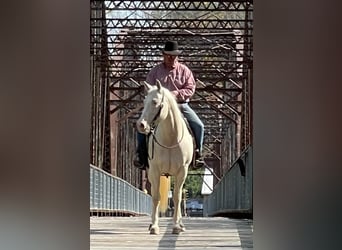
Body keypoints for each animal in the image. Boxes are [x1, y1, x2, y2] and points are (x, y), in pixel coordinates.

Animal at [137, 80, 195, 234]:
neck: (170, 138)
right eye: (144, 101)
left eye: (155, 102)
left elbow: (177, 197)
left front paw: (176, 226)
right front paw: (154, 226)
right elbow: (156, 196)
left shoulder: (182, 171)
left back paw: (180, 224)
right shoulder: (154, 171)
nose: (141, 125)